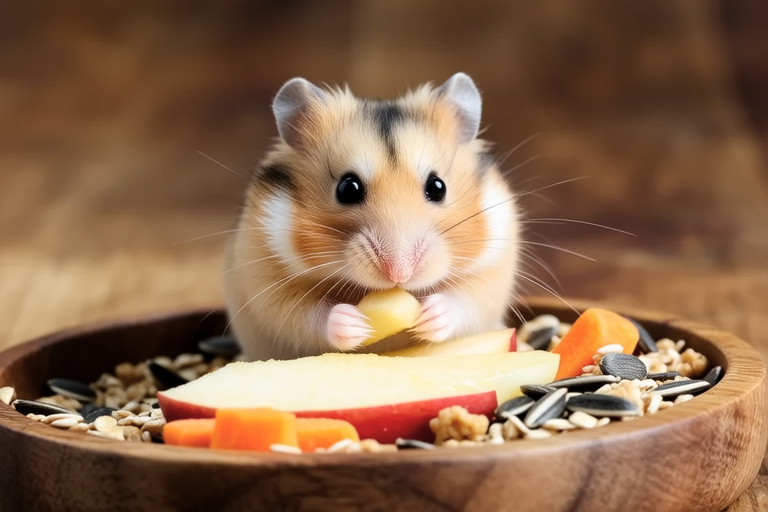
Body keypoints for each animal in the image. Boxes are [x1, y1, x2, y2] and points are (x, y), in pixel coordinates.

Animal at [224, 72, 520, 361]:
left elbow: (465, 300)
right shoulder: (269, 283)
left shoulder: (492, 272)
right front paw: (355, 323)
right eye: (348, 188)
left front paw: (430, 314)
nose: (399, 274)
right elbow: (305, 315)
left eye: (438, 187)